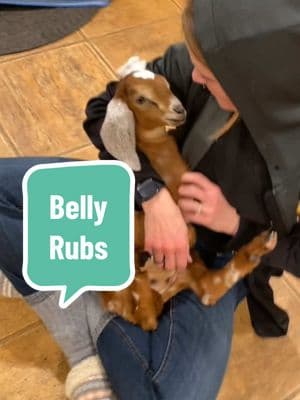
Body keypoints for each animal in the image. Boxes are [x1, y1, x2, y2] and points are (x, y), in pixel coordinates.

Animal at [98, 57, 276, 332]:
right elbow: (182, 232)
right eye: (141, 99)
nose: (179, 109)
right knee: (145, 314)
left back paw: (261, 244)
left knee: (205, 292)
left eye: (165, 82)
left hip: (190, 271)